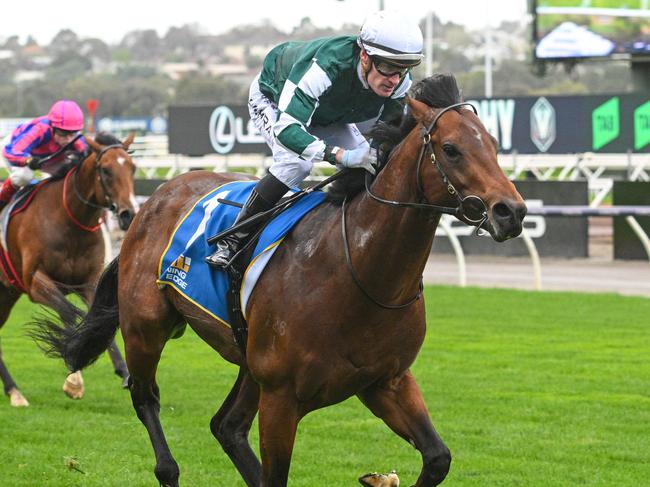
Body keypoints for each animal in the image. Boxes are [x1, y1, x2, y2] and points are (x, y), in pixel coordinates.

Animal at [0, 132, 135, 408]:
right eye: (106, 170)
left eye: (132, 167)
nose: (128, 214)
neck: (69, 221)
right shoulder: (35, 282)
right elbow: (69, 313)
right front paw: (74, 381)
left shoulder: (90, 282)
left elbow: (97, 318)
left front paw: (124, 371)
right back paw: (15, 392)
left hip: (7, 294)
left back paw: (14, 391)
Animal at [33, 74, 524, 486]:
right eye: (452, 148)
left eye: (494, 144)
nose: (511, 212)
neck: (360, 273)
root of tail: (153, 201)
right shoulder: (282, 398)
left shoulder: (386, 382)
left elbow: (437, 457)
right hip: (146, 328)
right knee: (146, 398)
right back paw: (167, 465)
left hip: (249, 360)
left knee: (226, 426)